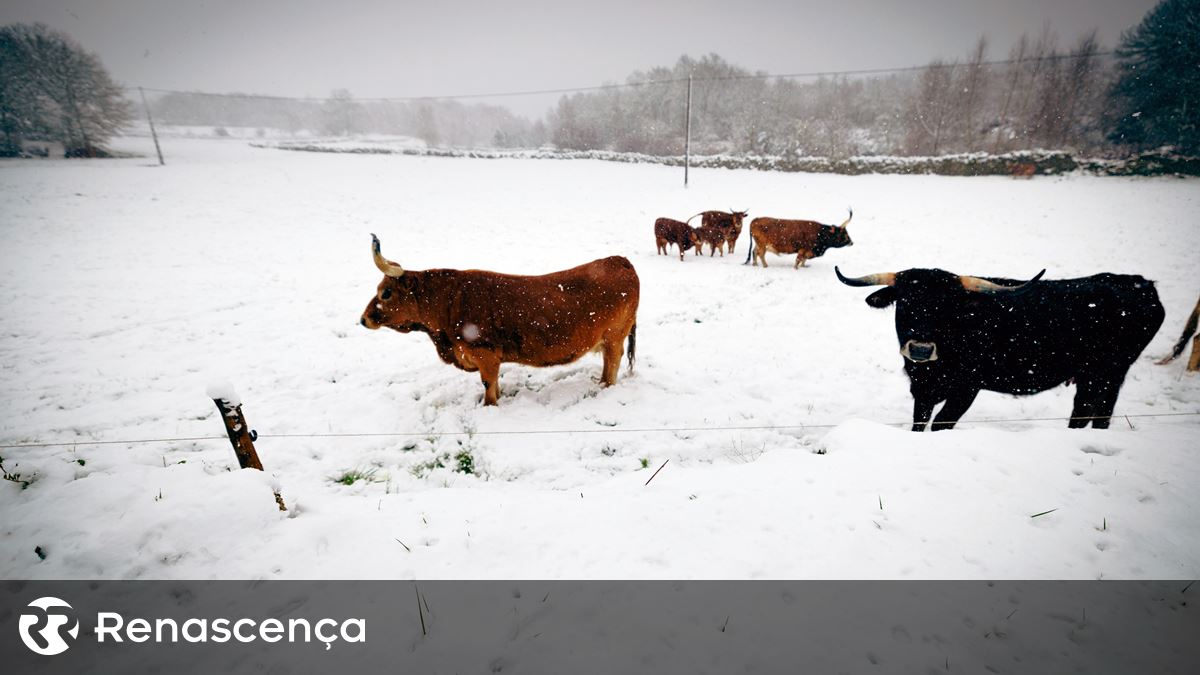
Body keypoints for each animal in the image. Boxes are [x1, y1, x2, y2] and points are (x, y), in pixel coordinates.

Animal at [357, 235, 638, 403]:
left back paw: (604, 388)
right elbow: (494, 386)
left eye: (386, 292)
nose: (363, 319)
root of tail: (619, 260)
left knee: (612, 363)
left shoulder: (486, 355)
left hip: (614, 337)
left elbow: (488, 387)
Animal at [835, 265, 1161, 427]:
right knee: (1085, 409)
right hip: (1091, 374)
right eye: (905, 302)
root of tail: (1141, 283)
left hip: (1110, 371)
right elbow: (920, 422)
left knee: (1100, 410)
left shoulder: (966, 388)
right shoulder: (923, 390)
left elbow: (940, 424)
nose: (920, 350)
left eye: (948, 307)